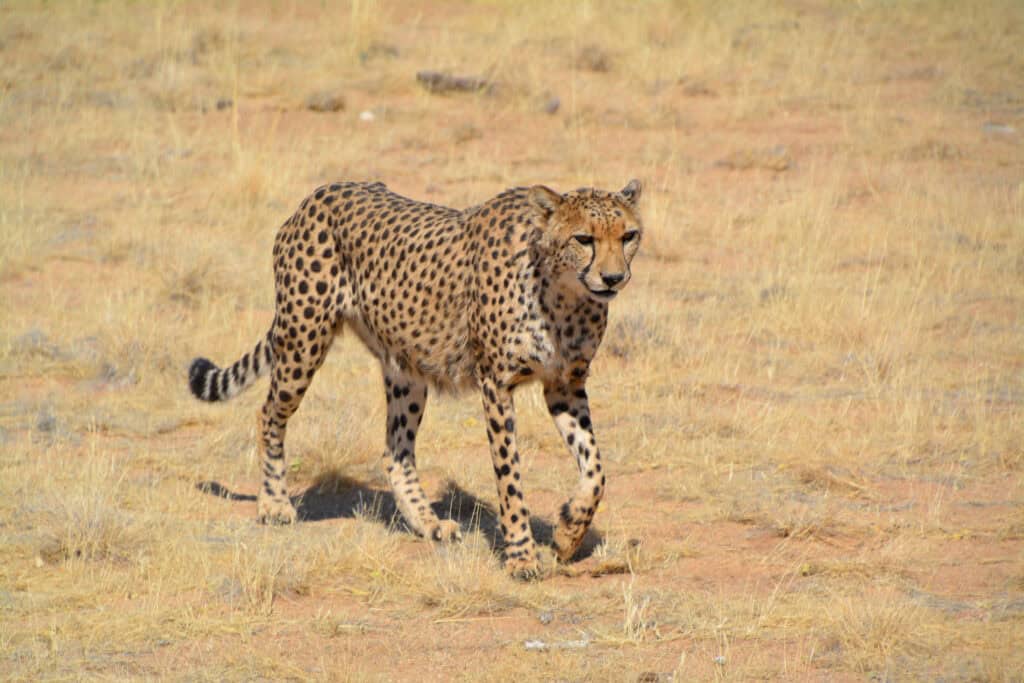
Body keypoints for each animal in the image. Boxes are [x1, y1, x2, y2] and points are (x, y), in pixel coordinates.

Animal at [188, 178, 643, 577]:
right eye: (584, 239)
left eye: (629, 236)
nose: (614, 278)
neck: (564, 295)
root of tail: (319, 193)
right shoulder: (496, 385)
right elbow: (510, 478)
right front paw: (521, 558)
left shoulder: (565, 384)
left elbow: (595, 470)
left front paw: (568, 533)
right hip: (304, 339)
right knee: (269, 413)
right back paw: (274, 505)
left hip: (405, 370)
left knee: (396, 451)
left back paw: (428, 522)